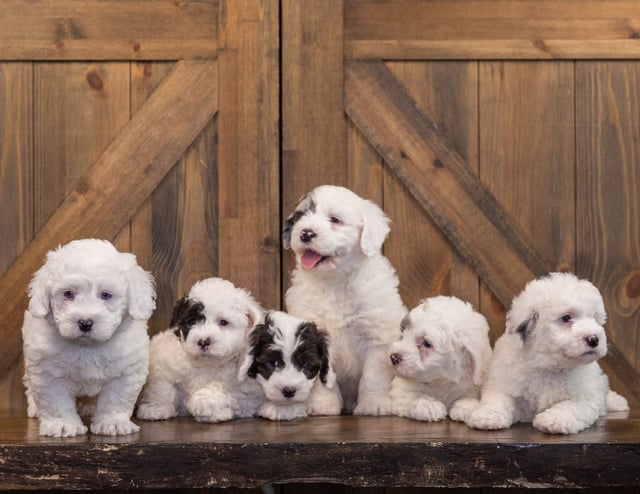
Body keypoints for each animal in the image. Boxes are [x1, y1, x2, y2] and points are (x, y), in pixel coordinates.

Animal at [21, 239, 156, 436]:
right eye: (68, 293)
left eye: (106, 295)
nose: (85, 323)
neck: (87, 347)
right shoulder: (47, 372)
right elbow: (56, 401)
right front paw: (62, 425)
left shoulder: (127, 371)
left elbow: (116, 400)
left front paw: (113, 422)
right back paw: (34, 408)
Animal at [136, 278, 264, 424]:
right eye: (192, 321)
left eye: (223, 322)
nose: (203, 342)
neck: (205, 364)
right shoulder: (164, 361)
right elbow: (162, 386)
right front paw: (155, 408)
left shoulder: (247, 390)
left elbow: (222, 388)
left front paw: (205, 405)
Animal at [282, 183, 402, 414]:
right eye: (301, 217)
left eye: (335, 220)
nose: (306, 233)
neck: (334, 280)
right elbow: (320, 379)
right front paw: (322, 405)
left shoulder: (377, 336)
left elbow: (373, 376)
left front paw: (374, 404)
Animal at [464, 272, 632, 434]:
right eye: (566, 317)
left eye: (594, 319)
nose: (594, 339)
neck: (547, 364)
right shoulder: (504, 382)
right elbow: (499, 398)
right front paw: (488, 417)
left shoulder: (585, 398)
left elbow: (570, 406)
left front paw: (554, 420)